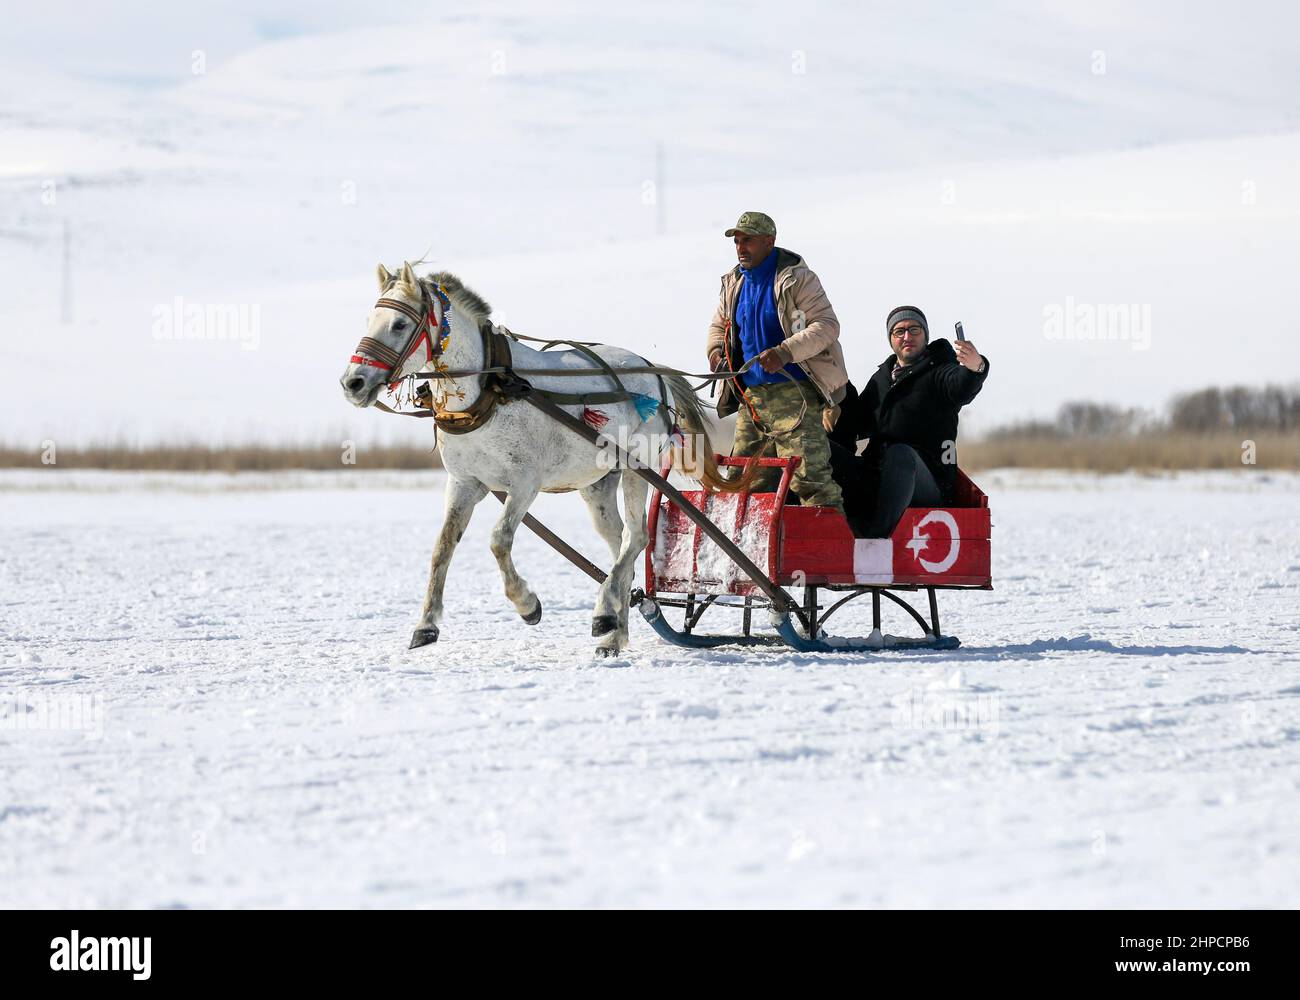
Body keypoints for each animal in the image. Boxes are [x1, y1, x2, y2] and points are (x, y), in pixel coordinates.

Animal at [340, 261, 748, 660]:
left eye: (399, 324)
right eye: (369, 320)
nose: (353, 383)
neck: (488, 391)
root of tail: (655, 372)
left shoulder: (524, 483)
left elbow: (499, 540)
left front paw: (527, 604)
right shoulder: (464, 482)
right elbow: (442, 547)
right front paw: (426, 624)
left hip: (639, 468)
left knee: (637, 537)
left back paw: (604, 614)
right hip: (598, 484)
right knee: (621, 547)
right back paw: (615, 634)